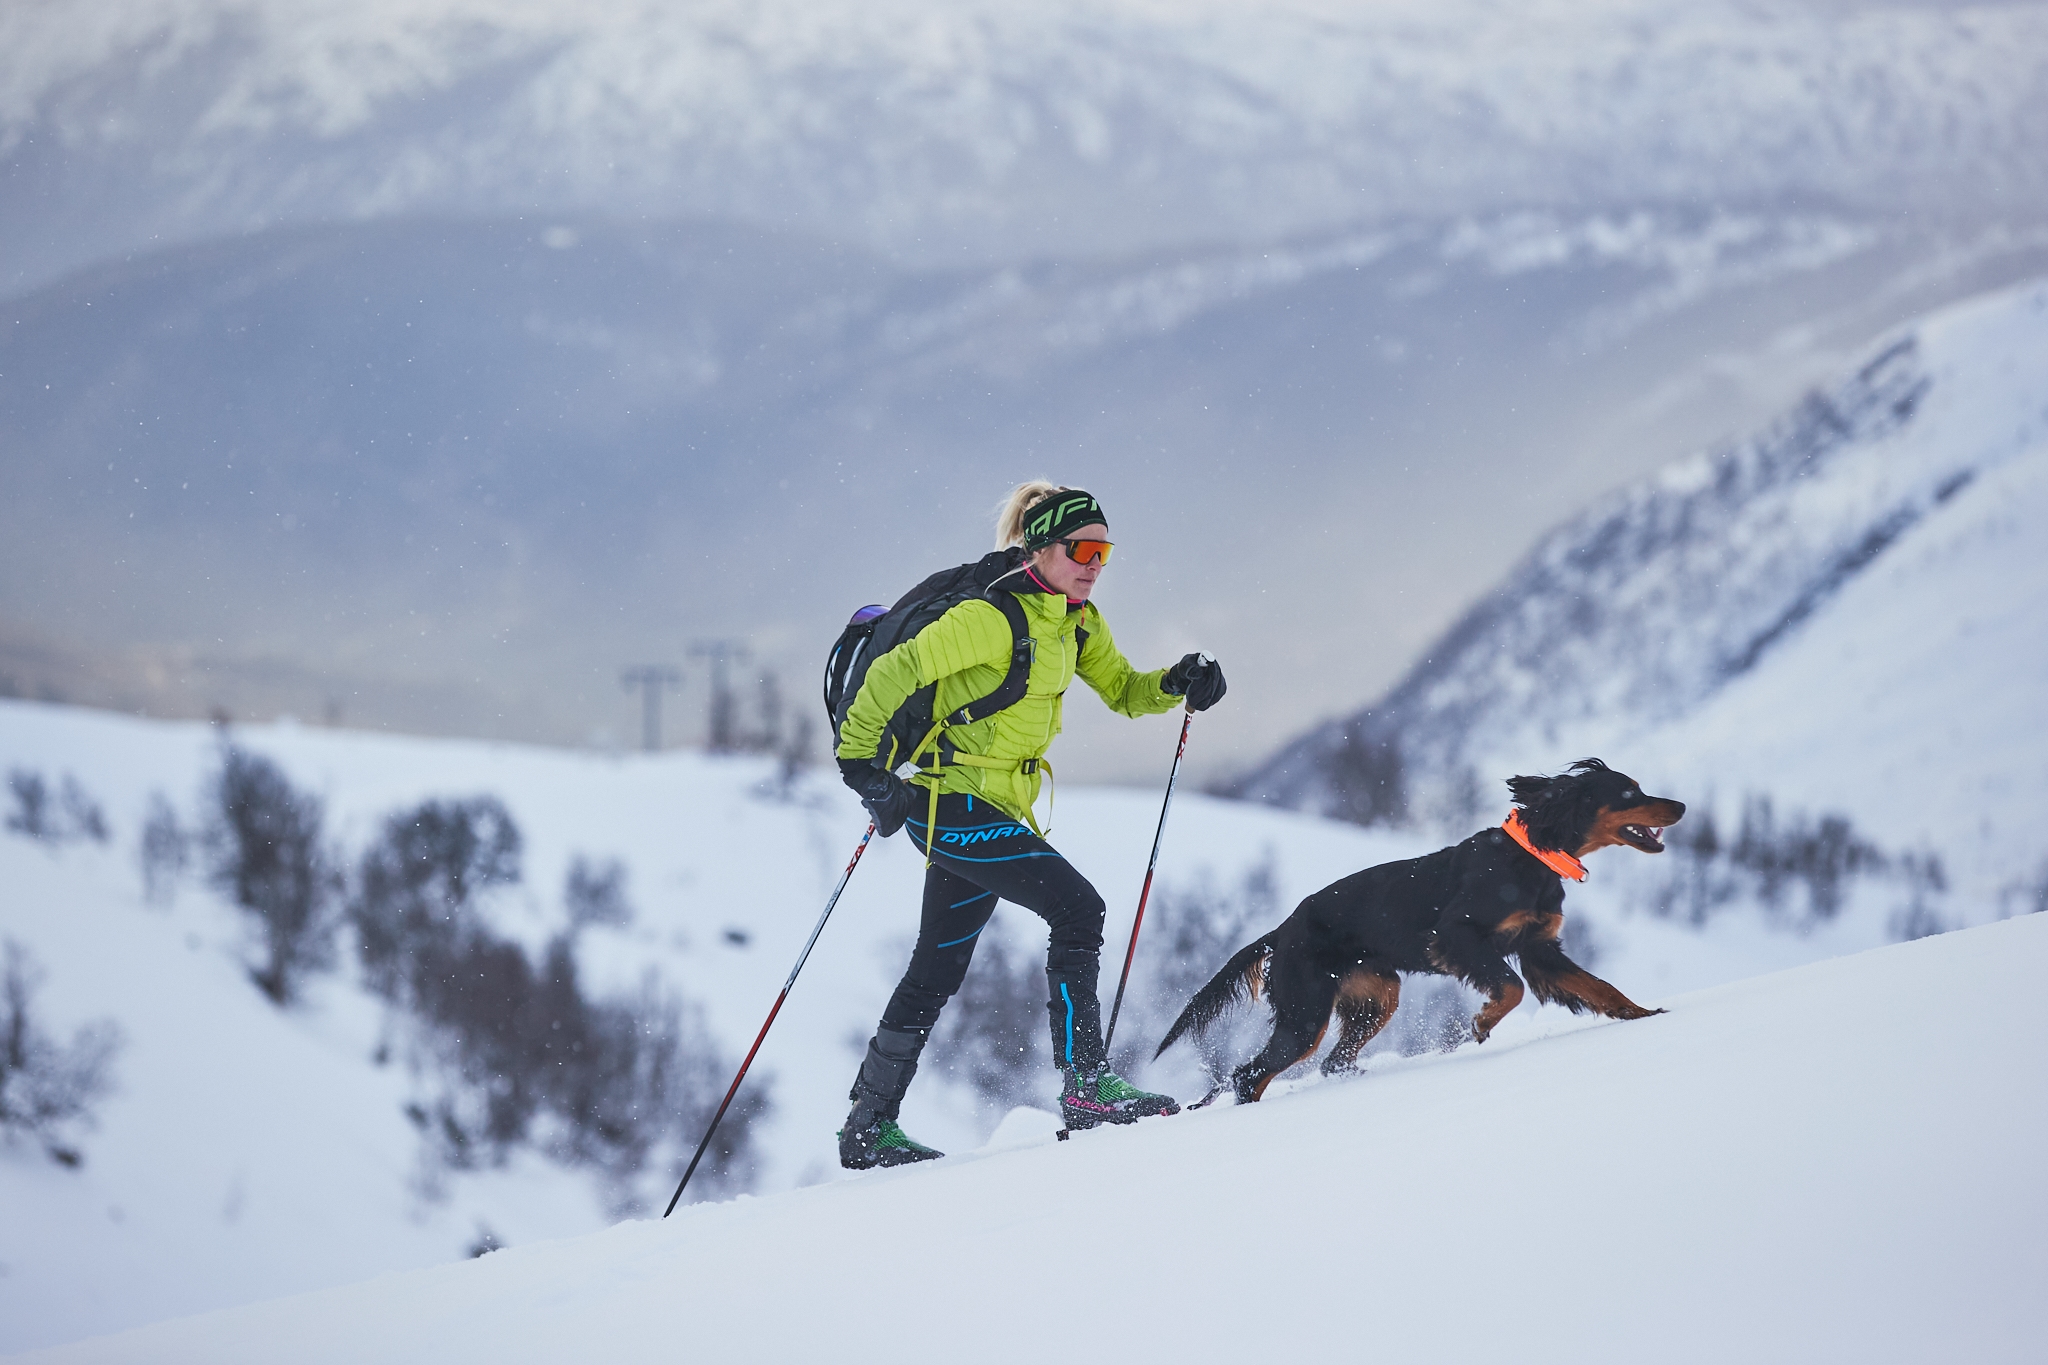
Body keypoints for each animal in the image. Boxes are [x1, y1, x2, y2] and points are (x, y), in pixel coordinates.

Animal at [1163, 765, 1687, 1105]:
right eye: (1628, 793)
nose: (1681, 805)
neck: (1530, 856)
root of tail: (1282, 930)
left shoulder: (1539, 949)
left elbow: (1598, 986)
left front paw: (1645, 1015)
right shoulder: (1458, 935)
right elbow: (1511, 988)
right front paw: (1482, 1023)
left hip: (1378, 994)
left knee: (1331, 1061)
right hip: (1305, 1011)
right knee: (1248, 1074)